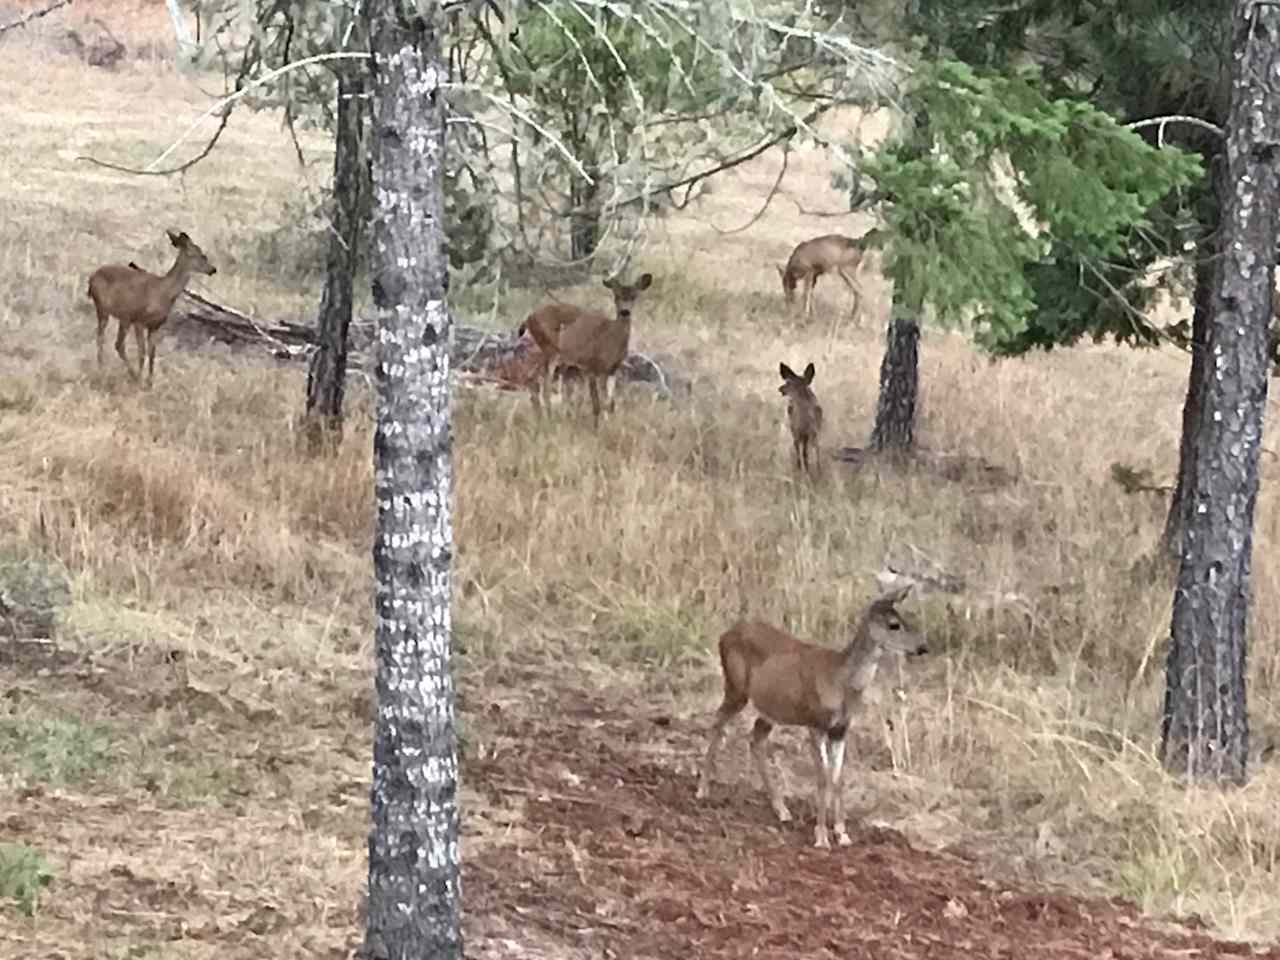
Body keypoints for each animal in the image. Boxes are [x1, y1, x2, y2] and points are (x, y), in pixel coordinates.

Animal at [87, 230, 217, 386]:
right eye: (198, 254)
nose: (213, 269)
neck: (163, 292)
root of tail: (91, 278)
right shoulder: (139, 320)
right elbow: (142, 352)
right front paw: (140, 379)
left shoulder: (155, 326)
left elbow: (152, 353)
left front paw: (150, 382)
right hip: (108, 310)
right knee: (112, 342)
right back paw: (113, 371)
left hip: (120, 316)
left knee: (109, 340)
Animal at [517, 272, 655, 427]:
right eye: (616, 296)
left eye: (634, 296)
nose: (625, 311)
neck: (612, 339)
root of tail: (529, 318)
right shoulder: (592, 366)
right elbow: (597, 403)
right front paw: (598, 427)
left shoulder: (612, 369)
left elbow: (610, 403)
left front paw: (610, 423)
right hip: (551, 350)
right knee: (546, 387)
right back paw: (550, 420)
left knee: (533, 380)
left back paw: (542, 417)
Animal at [696, 586, 926, 849]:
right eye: (893, 624)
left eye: (905, 619)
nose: (922, 647)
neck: (840, 681)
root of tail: (726, 633)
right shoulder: (816, 724)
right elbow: (823, 778)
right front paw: (822, 837)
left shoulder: (841, 729)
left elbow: (838, 777)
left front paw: (843, 834)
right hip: (736, 687)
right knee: (719, 721)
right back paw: (702, 790)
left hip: (772, 707)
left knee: (755, 739)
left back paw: (782, 810)